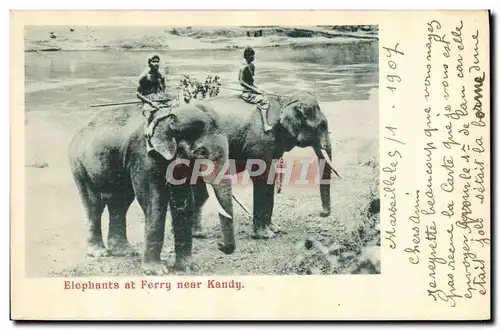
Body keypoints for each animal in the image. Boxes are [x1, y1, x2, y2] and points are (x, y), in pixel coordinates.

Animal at [68, 103, 236, 276]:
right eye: (202, 152)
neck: (168, 115)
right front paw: (157, 271)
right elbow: (154, 201)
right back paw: (99, 252)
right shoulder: (144, 156)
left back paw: (124, 251)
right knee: (94, 204)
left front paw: (189, 268)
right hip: (79, 166)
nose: (220, 246)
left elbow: (183, 202)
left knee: (120, 203)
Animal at [192, 91, 340, 238]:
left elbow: (270, 177)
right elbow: (261, 177)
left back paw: (199, 233)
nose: (321, 213)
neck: (284, 102)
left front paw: (275, 229)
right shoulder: (260, 143)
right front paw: (265, 235)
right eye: (322, 126)